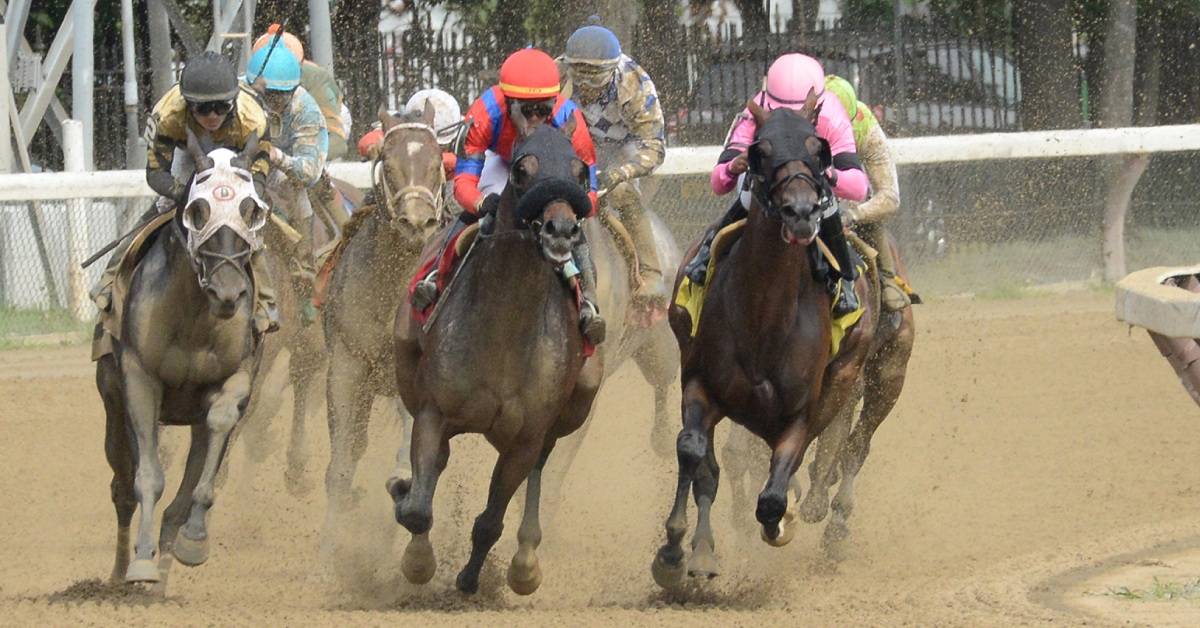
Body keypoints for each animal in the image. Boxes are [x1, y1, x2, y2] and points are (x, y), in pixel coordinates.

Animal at [96, 131, 270, 590]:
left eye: (252, 210)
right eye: (198, 211)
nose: (229, 293)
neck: (192, 317)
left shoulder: (238, 375)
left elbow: (218, 429)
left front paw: (193, 539)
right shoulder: (138, 377)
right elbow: (147, 477)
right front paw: (140, 563)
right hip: (112, 402)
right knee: (121, 486)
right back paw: (120, 572)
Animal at [391, 117, 600, 595]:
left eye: (581, 173)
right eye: (522, 170)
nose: (561, 230)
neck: (506, 326)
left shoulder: (525, 438)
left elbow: (490, 520)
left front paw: (471, 578)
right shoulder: (434, 411)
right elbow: (417, 508)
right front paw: (416, 557)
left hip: (573, 406)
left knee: (540, 467)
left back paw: (525, 561)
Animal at [648, 99, 864, 590]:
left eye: (818, 149)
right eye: (760, 151)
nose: (801, 211)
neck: (764, 320)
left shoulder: (802, 413)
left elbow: (772, 497)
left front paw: (782, 522)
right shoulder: (700, 385)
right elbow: (693, 454)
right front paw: (672, 553)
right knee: (710, 471)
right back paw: (703, 552)